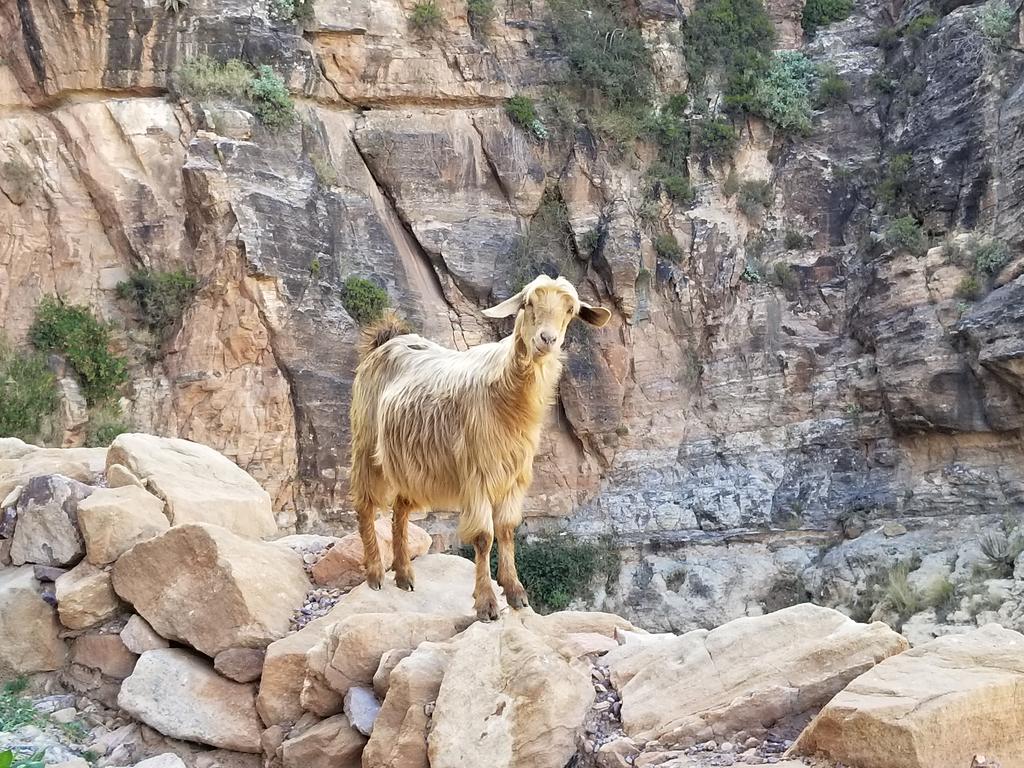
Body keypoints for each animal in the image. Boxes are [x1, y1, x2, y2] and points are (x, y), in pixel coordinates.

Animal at [348, 275, 612, 619]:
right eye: (528, 304)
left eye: (571, 310)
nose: (547, 339)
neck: (507, 395)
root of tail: (385, 341)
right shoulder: (477, 473)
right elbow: (485, 537)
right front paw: (486, 602)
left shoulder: (514, 476)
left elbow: (508, 529)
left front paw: (515, 593)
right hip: (366, 444)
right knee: (365, 504)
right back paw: (375, 574)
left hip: (411, 462)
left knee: (400, 508)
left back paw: (404, 575)